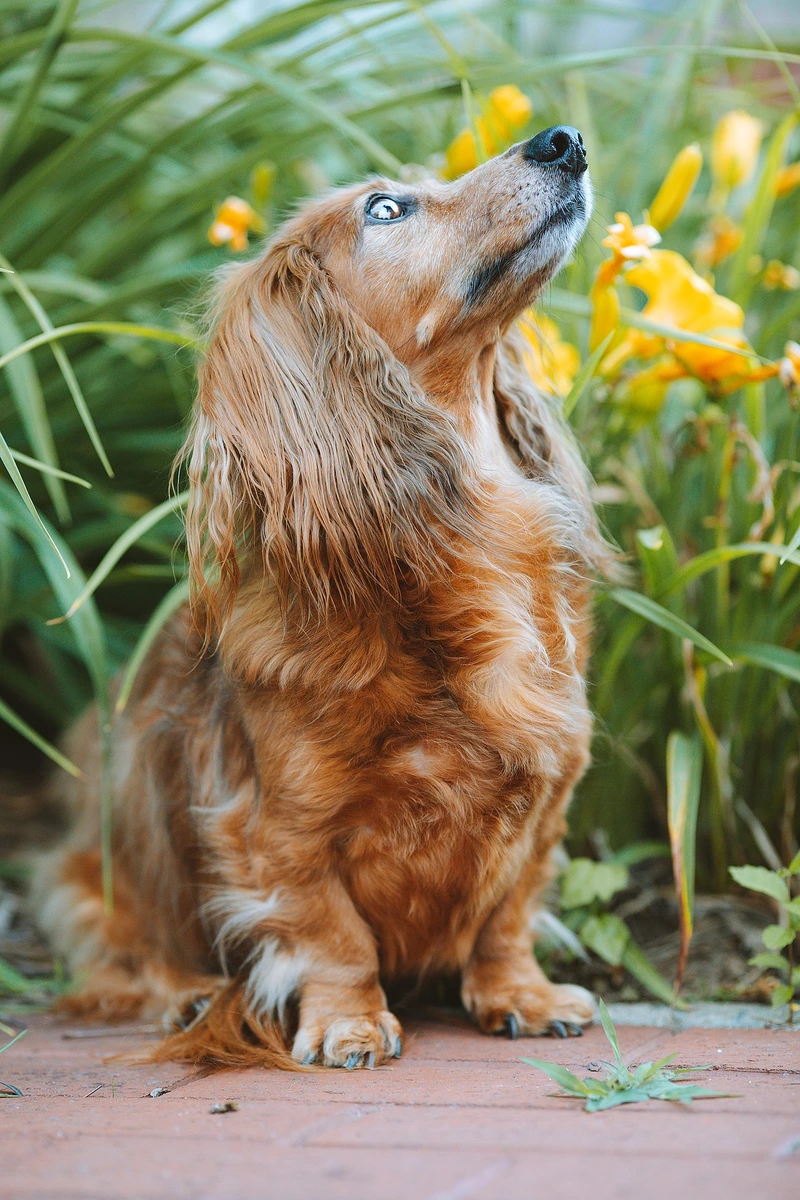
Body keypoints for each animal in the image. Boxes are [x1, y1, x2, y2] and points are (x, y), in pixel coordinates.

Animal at [34, 124, 614, 1070]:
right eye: (385, 208)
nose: (563, 141)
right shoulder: (280, 832)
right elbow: (333, 934)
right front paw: (349, 1022)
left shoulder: (551, 793)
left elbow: (507, 912)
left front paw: (519, 995)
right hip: (100, 874)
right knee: (131, 957)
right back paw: (190, 996)